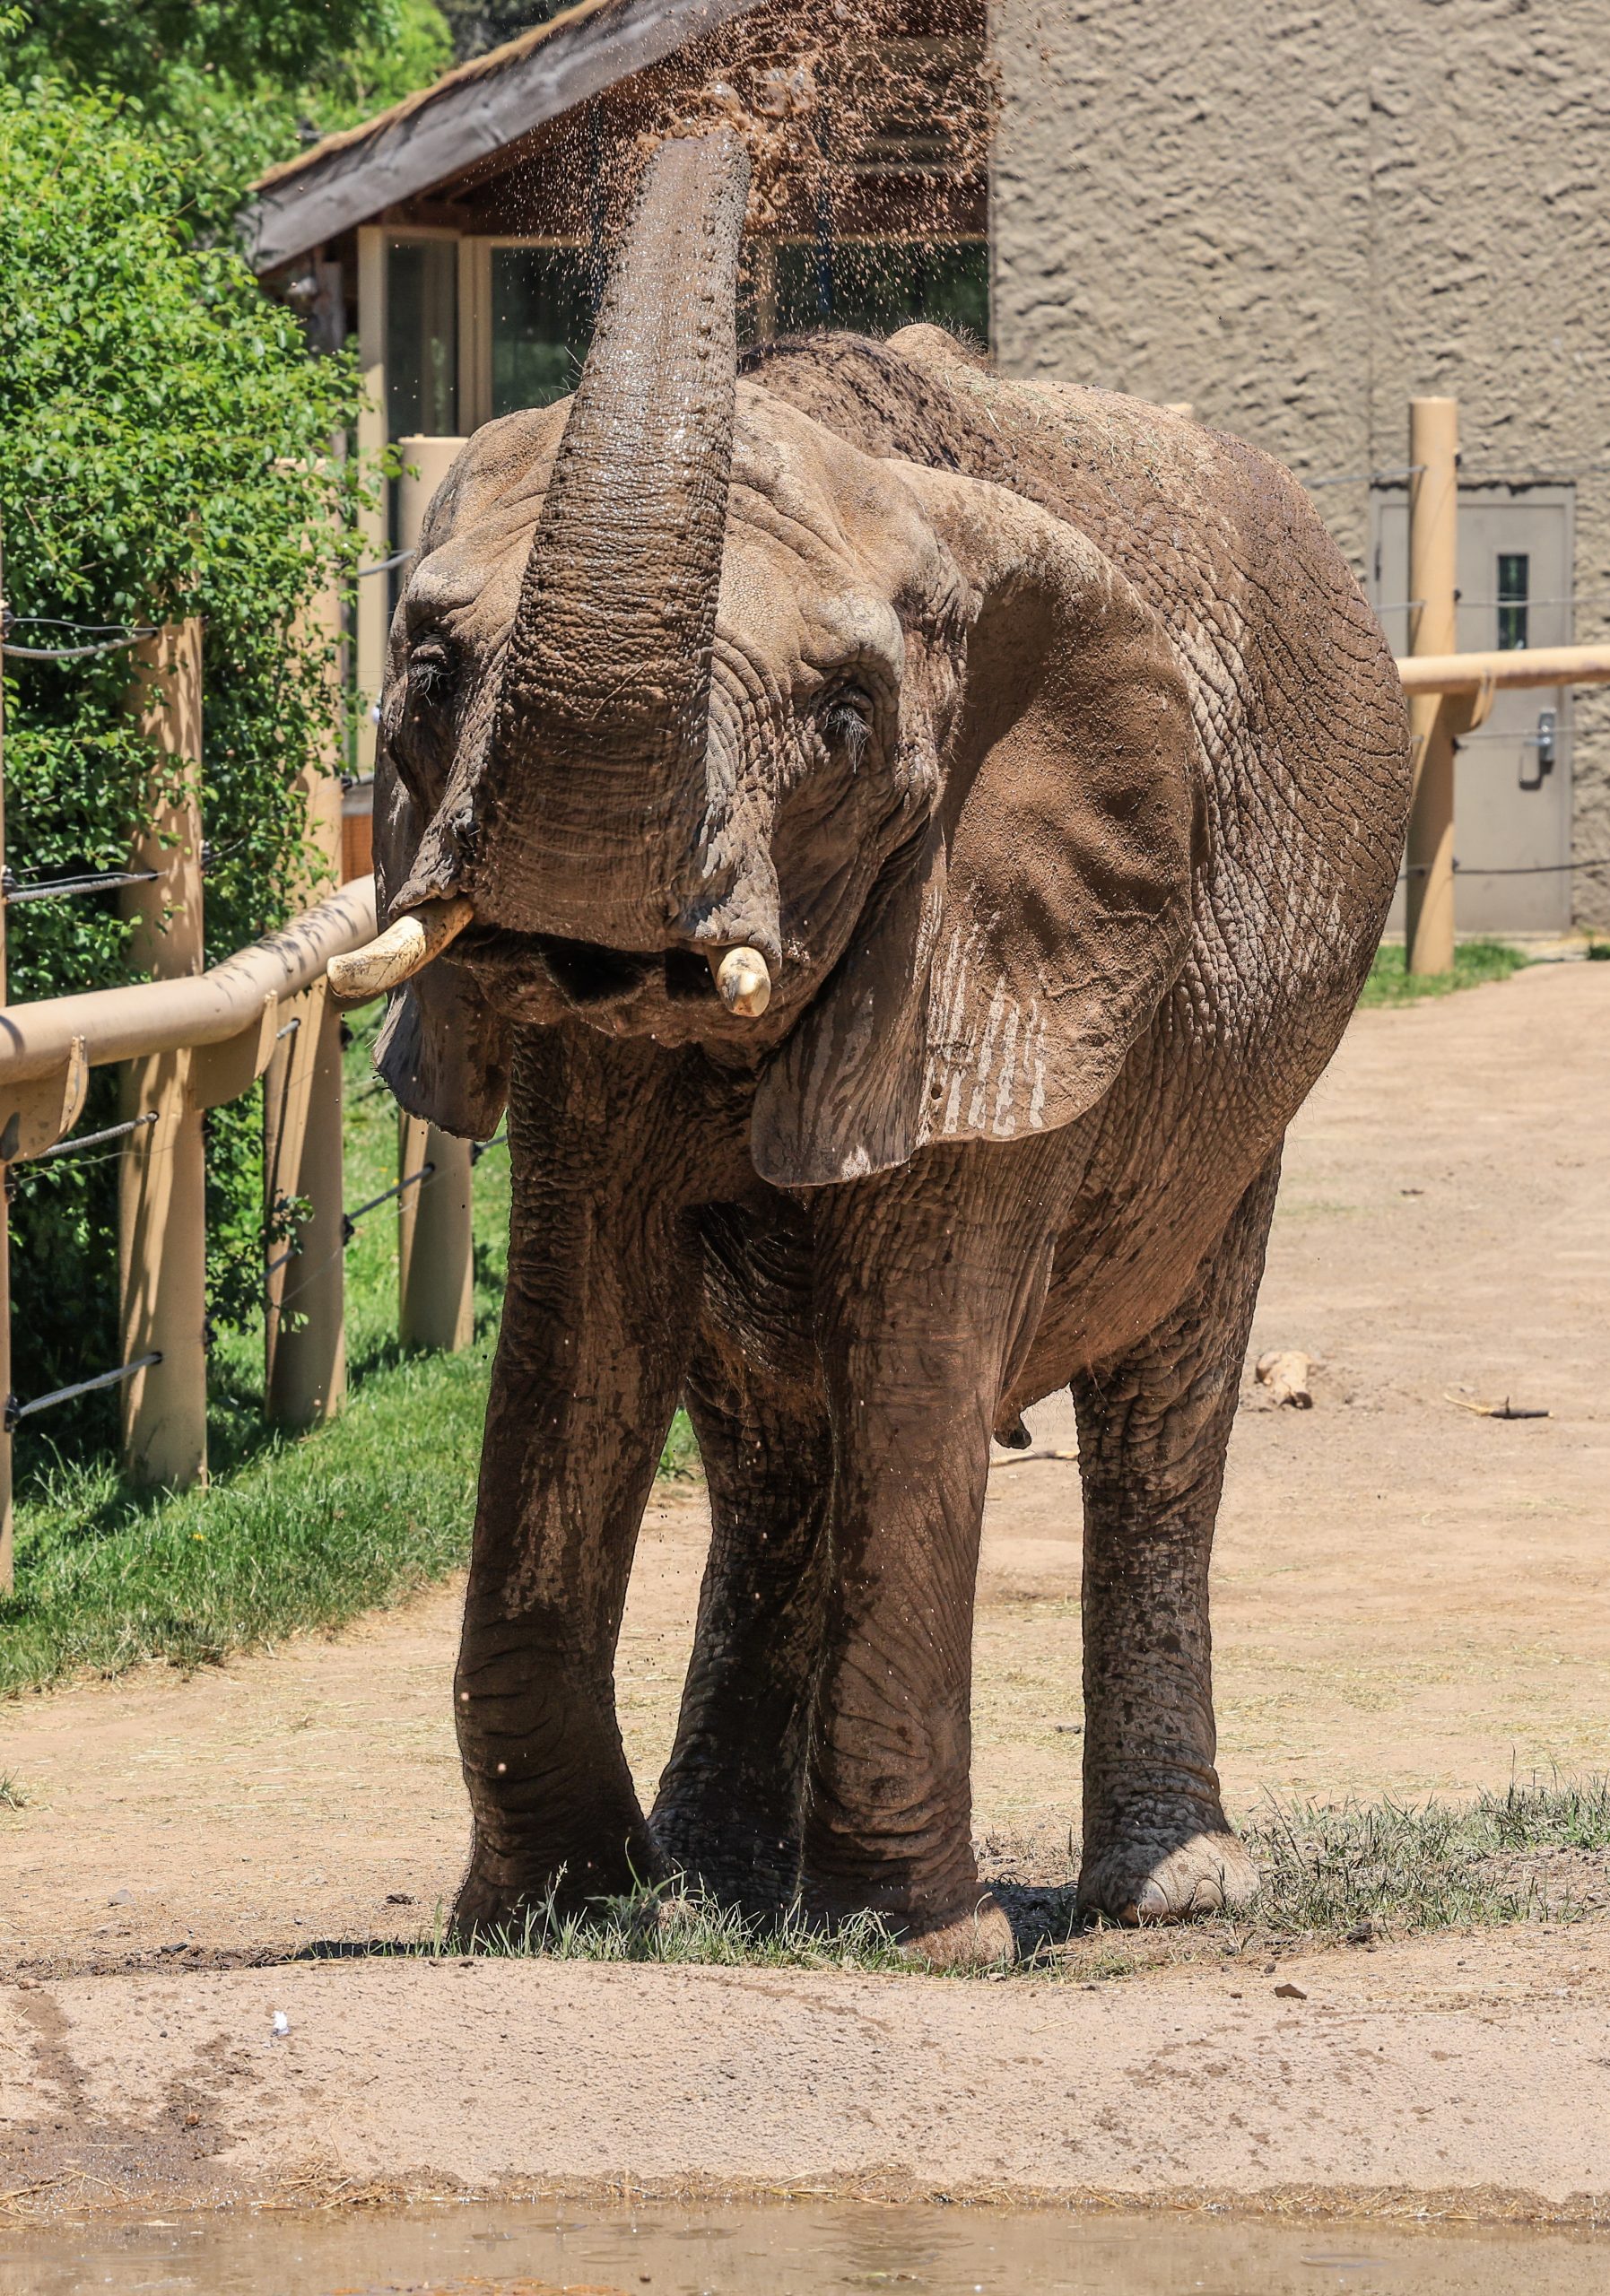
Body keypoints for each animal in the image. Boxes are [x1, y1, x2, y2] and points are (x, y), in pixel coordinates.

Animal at [342, 126, 1405, 1965]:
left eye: (844, 722)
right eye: (425, 674)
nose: (737, 120)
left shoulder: (1006, 943)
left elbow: (920, 1339)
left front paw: (919, 1945)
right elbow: (579, 1330)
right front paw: (556, 1916)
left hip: (1238, 1096)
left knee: (1162, 1419)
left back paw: (1167, 1894)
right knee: (766, 1448)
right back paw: (717, 1879)